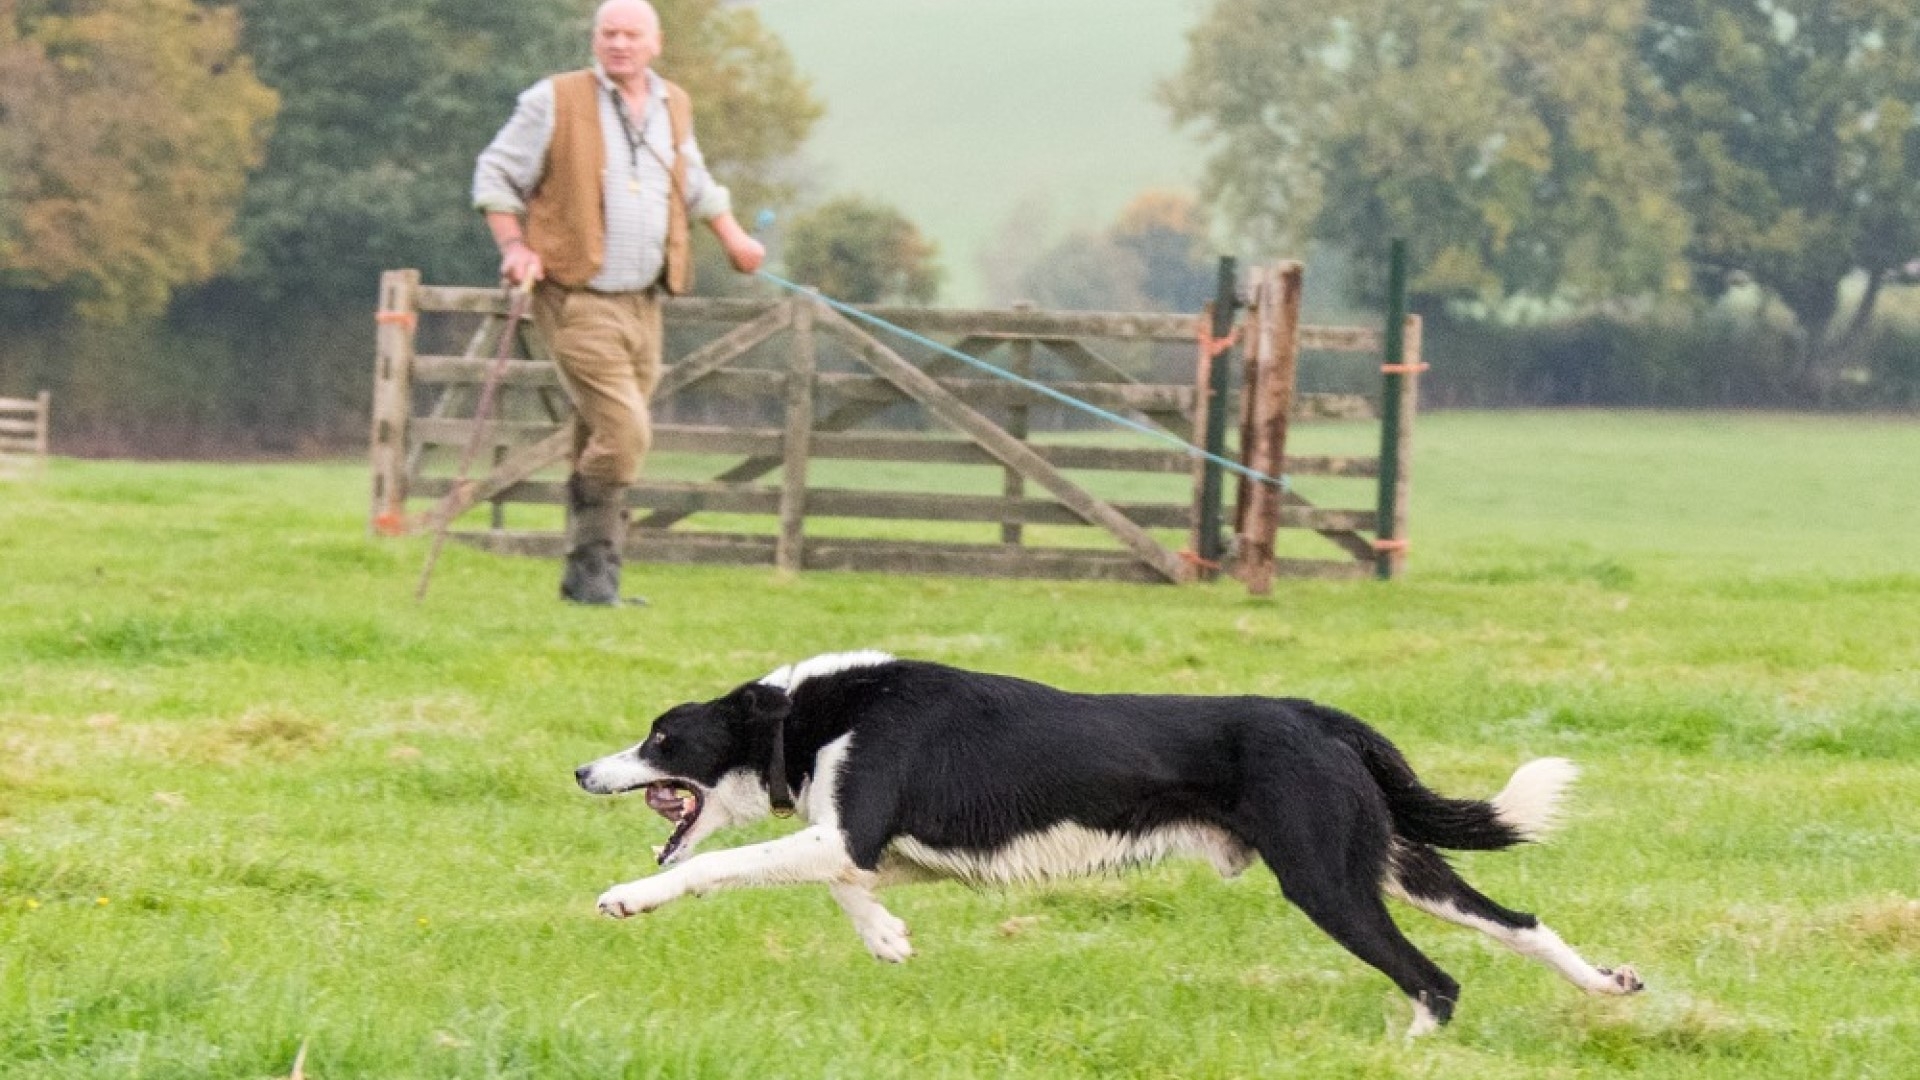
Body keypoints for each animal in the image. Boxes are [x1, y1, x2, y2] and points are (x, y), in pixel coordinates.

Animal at [568, 653, 1635, 1030]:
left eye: (660, 739)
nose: (582, 772)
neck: (811, 715)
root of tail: (1316, 714)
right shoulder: (875, 845)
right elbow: (843, 885)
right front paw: (888, 938)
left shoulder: (852, 829)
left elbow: (722, 863)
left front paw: (627, 898)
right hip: (1394, 864)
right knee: (1516, 920)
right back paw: (1607, 985)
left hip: (1327, 882)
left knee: (1435, 979)